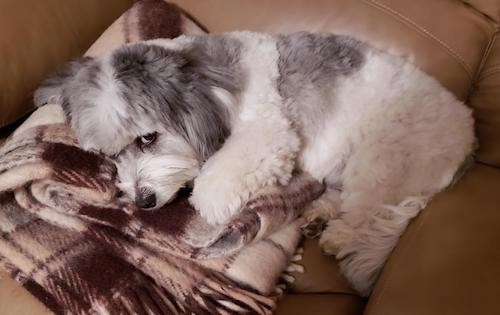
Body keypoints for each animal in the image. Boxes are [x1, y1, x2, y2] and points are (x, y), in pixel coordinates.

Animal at [33, 30, 474, 296]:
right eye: (109, 155)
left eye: (147, 137)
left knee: (369, 210)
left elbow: (217, 181)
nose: (142, 202)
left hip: (384, 157)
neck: (207, 80)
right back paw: (318, 215)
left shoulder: (268, 132)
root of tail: (468, 139)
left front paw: (209, 203)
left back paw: (340, 235)